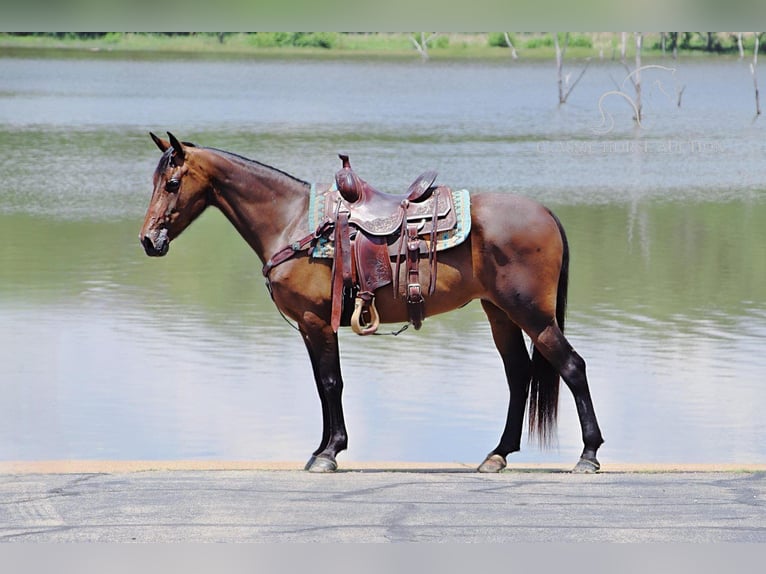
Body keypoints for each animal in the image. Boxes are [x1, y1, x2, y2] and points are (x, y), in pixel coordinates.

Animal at [140, 133, 608, 474]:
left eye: (172, 183)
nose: (148, 240)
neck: (292, 223)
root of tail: (546, 213)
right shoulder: (312, 327)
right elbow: (323, 385)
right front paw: (323, 448)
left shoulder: (315, 321)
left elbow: (331, 383)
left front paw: (329, 453)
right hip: (501, 314)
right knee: (519, 375)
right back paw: (497, 455)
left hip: (531, 314)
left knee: (572, 367)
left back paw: (588, 455)